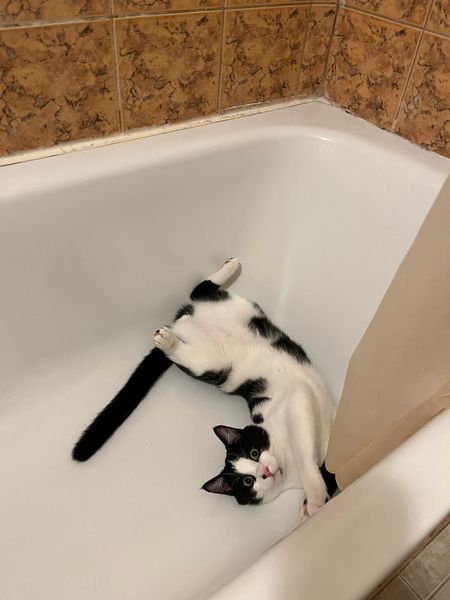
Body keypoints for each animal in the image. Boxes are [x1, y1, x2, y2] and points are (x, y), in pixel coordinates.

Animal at [72, 259, 337, 517]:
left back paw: (230, 266)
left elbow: (312, 456)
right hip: (208, 366)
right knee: (192, 314)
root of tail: (182, 323)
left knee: (201, 289)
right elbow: (313, 461)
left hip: (237, 309)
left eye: (253, 452)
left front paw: (313, 495)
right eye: (248, 481)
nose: (264, 471)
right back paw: (167, 340)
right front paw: (313, 500)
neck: (287, 461)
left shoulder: (298, 402)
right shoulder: (296, 401)